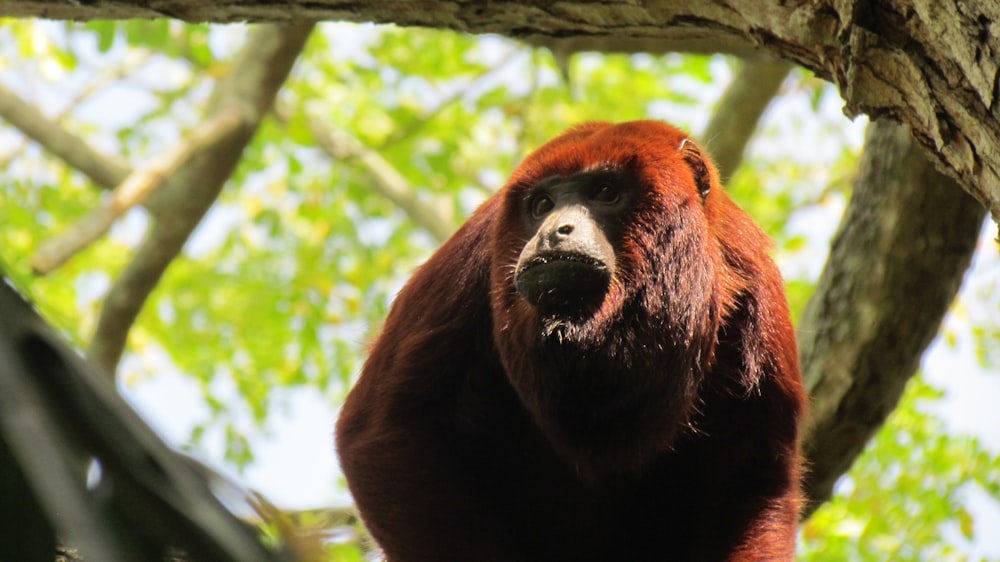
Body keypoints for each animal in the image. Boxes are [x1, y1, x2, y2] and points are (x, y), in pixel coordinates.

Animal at [340, 120, 808, 556]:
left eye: (605, 191)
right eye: (542, 205)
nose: (552, 230)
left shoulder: (752, 280)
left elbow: (753, 477)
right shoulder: (474, 252)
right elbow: (383, 428)